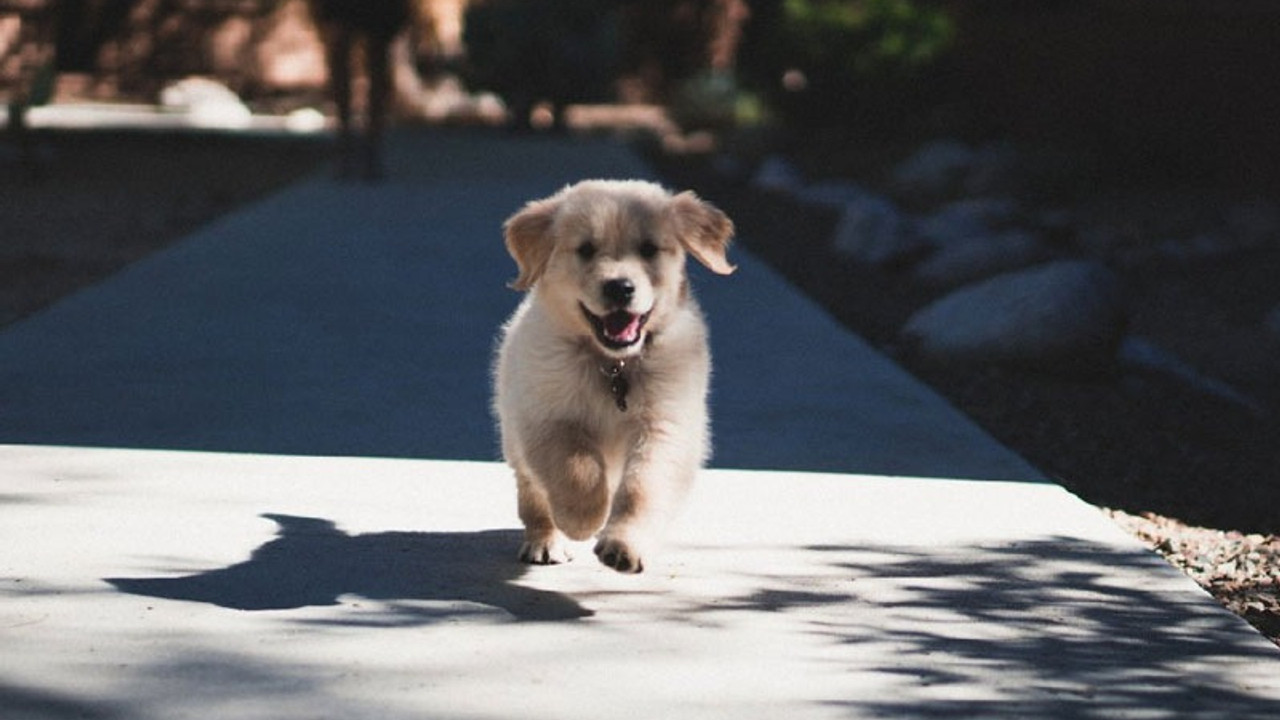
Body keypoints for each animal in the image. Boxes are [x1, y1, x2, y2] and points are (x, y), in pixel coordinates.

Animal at [491, 179, 737, 571]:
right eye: (586, 250)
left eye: (649, 249)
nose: (620, 288)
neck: (613, 364)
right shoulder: (546, 416)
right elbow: (577, 467)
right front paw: (584, 518)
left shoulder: (665, 425)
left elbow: (642, 488)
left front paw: (624, 545)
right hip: (514, 436)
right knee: (533, 495)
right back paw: (545, 540)